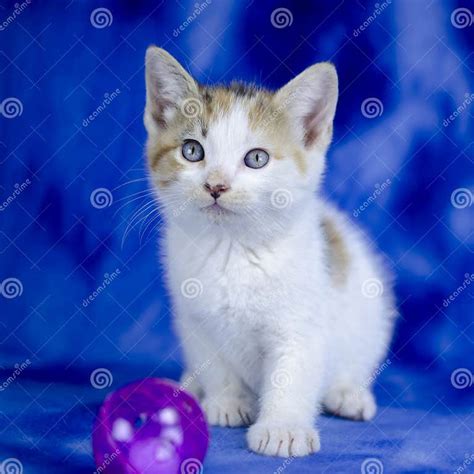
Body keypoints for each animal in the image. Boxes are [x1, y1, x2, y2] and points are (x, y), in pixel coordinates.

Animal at [143, 46, 396, 458]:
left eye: (256, 158)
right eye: (192, 151)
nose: (216, 185)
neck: (234, 248)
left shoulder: (303, 323)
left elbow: (292, 374)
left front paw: (283, 428)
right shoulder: (194, 315)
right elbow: (214, 359)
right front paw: (227, 401)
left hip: (371, 314)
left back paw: (348, 393)